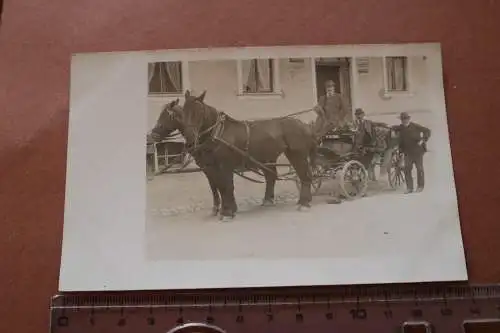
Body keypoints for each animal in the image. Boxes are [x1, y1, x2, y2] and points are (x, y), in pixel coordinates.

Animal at [178, 89, 316, 222]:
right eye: (183, 111)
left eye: (200, 111)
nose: (190, 139)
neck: (219, 132)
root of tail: (304, 125)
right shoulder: (213, 167)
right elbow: (221, 187)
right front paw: (228, 210)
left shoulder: (225, 166)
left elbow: (227, 187)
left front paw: (227, 212)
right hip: (268, 158)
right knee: (271, 176)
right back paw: (269, 201)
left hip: (297, 155)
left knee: (304, 175)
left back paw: (304, 202)